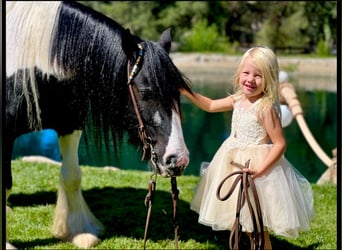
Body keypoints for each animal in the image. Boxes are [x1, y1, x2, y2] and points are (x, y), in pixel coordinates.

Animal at [5, 1, 191, 248]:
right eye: (145, 92)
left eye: (178, 94)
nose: (179, 159)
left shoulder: (70, 124)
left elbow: (72, 175)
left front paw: (79, 232)